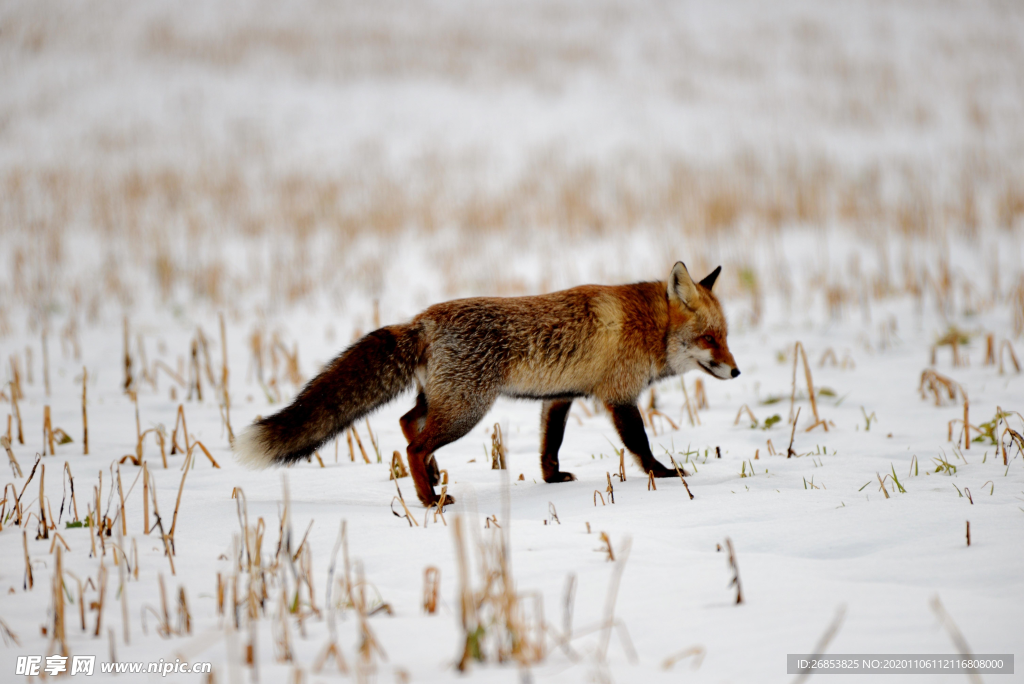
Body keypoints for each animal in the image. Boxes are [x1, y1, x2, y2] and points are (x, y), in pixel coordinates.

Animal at [235, 262, 741, 507]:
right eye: (710, 339)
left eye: (726, 336)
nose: (736, 372)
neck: (648, 325)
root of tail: (422, 320)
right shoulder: (619, 396)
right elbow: (640, 444)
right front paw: (665, 475)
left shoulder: (558, 398)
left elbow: (550, 445)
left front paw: (552, 480)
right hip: (468, 409)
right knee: (413, 445)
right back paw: (428, 499)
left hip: (446, 401)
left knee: (406, 423)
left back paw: (433, 478)